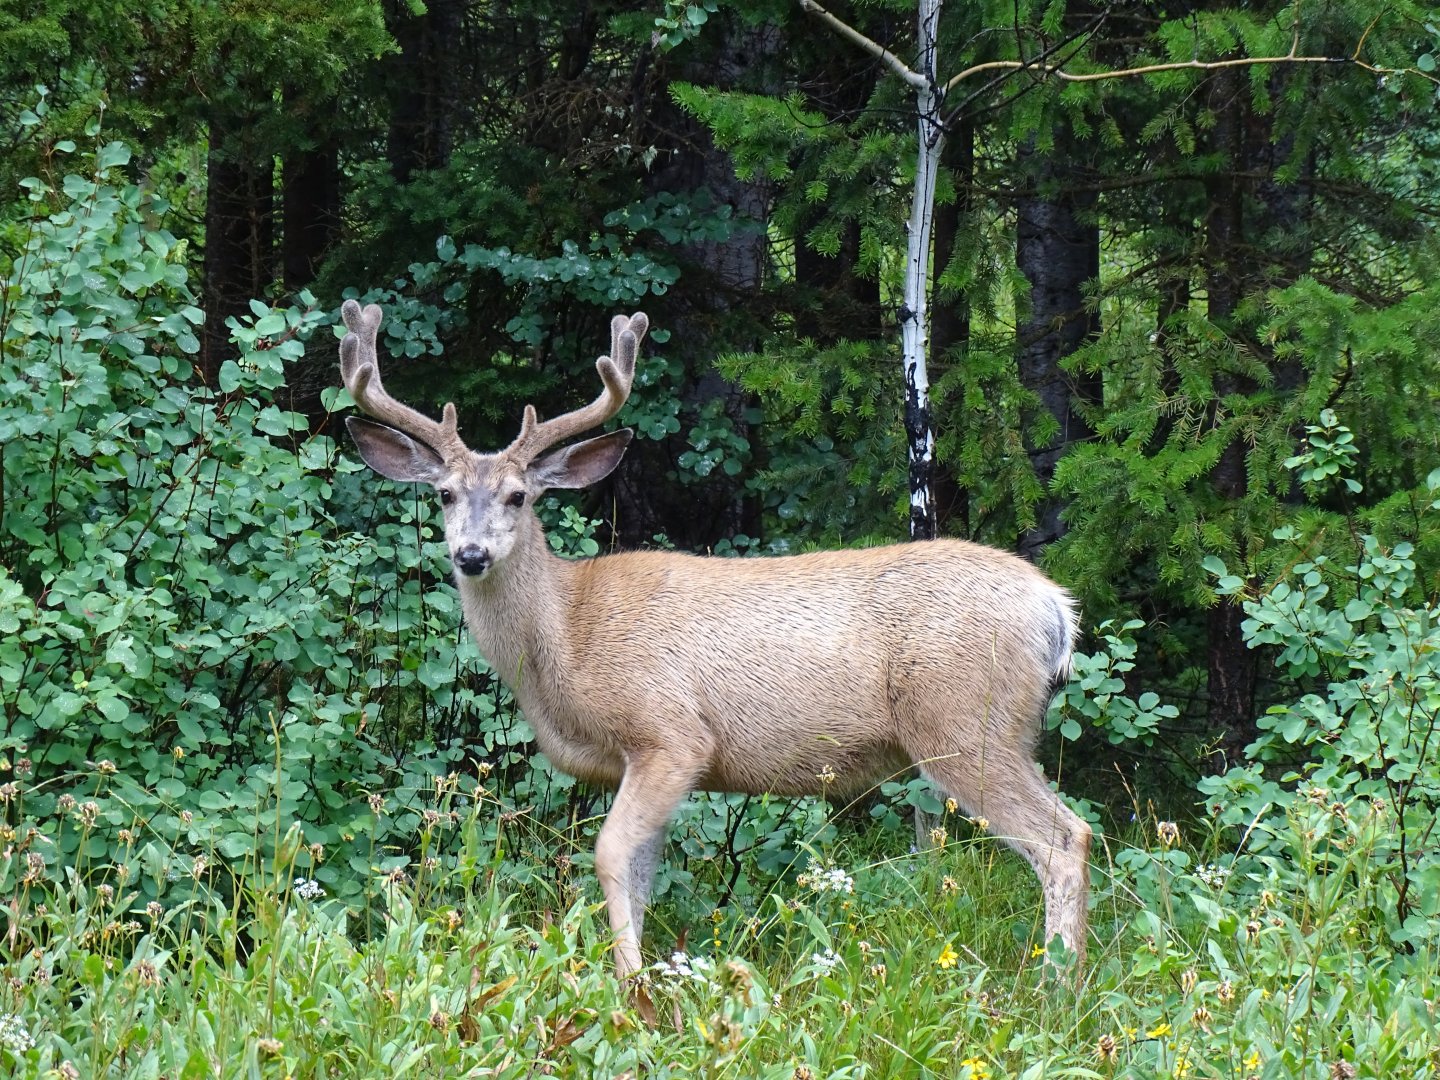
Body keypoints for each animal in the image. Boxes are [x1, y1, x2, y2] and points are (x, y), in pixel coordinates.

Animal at [337, 299, 1091, 979]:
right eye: (443, 494)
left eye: (520, 497)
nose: (470, 554)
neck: (568, 631)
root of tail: (1055, 607)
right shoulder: (643, 759)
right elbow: (640, 875)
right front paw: (637, 981)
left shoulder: (671, 733)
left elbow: (608, 855)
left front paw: (633, 992)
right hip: (999, 727)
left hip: (963, 720)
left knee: (1063, 837)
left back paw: (1055, 988)